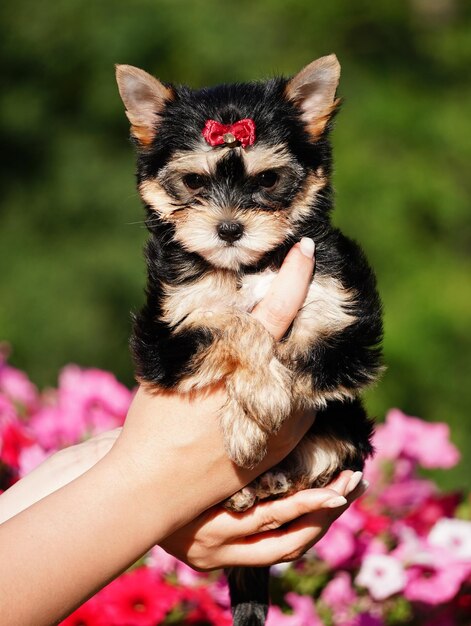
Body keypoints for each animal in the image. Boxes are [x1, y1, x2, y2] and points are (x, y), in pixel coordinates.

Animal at [117, 54, 384, 624]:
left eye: (268, 180)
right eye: (193, 180)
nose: (229, 228)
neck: (246, 267)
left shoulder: (343, 313)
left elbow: (303, 348)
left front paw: (260, 403)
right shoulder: (168, 331)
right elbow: (233, 324)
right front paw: (255, 403)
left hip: (347, 429)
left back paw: (273, 478)